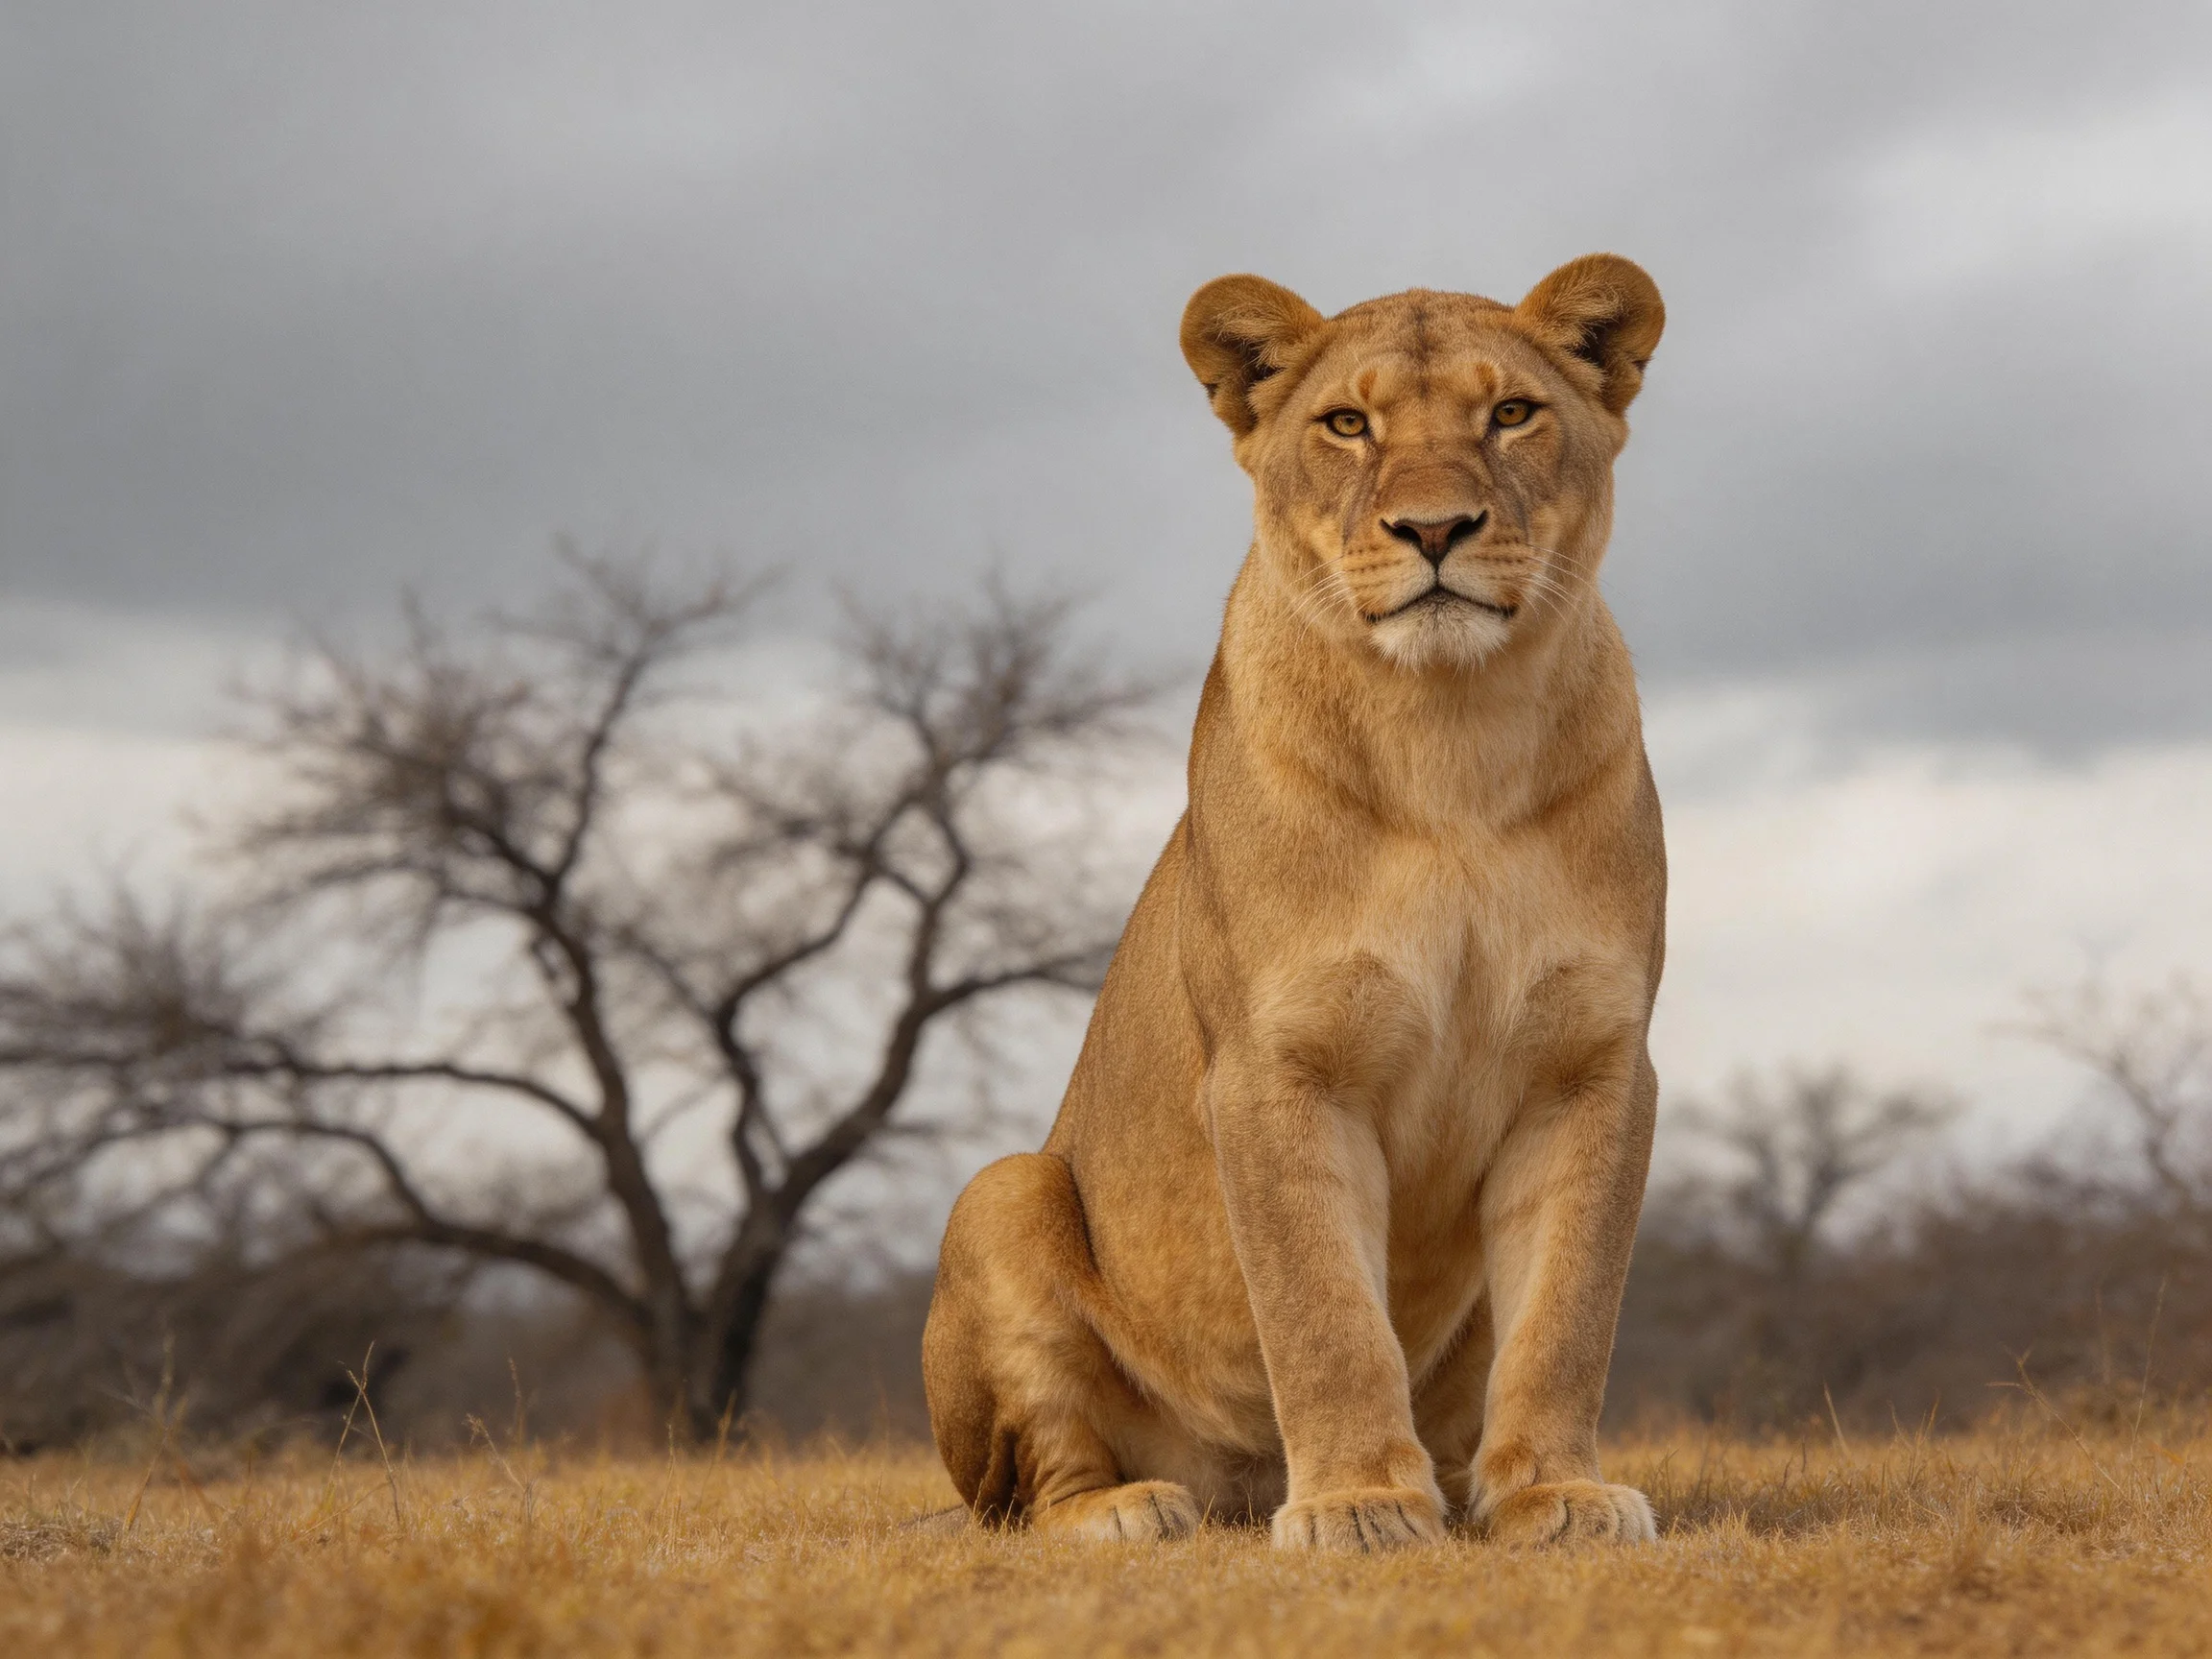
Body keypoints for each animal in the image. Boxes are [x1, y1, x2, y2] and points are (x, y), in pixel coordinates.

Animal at [921, 254, 1669, 1551]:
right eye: (1347, 425)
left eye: (1511, 414)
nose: (1435, 528)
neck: (1450, 740)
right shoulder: (1277, 1067)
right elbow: (1323, 1312)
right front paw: (1361, 1504)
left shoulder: (1595, 1064)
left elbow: (1567, 1312)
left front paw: (1553, 1494)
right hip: (1003, 1193)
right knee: (1025, 1494)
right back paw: (1129, 1510)